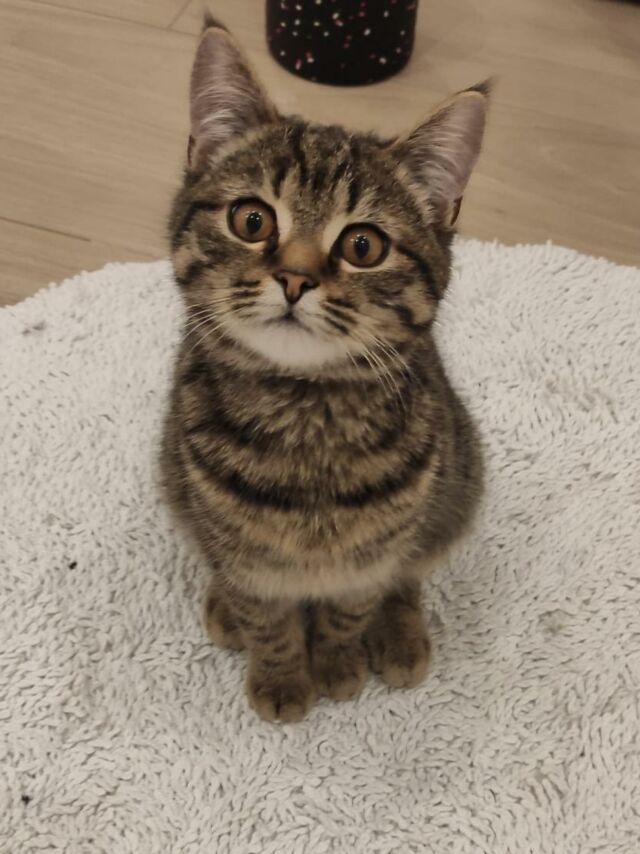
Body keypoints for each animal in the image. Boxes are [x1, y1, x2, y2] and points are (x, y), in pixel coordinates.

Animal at [162, 16, 487, 722]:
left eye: (363, 245)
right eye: (251, 219)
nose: (294, 278)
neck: (307, 418)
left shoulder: (376, 551)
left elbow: (352, 605)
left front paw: (338, 662)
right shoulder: (243, 555)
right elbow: (267, 617)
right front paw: (283, 677)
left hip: (460, 482)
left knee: (411, 573)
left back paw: (400, 633)